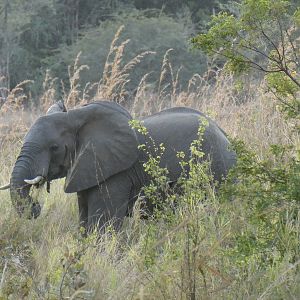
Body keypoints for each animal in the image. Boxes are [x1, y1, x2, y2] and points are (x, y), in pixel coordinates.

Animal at [0, 101, 237, 232]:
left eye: (54, 147)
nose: (36, 206)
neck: (76, 117)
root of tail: (225, 135)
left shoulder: (116, 173)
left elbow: (102, 225)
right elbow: (84, 221)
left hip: (217, 170)